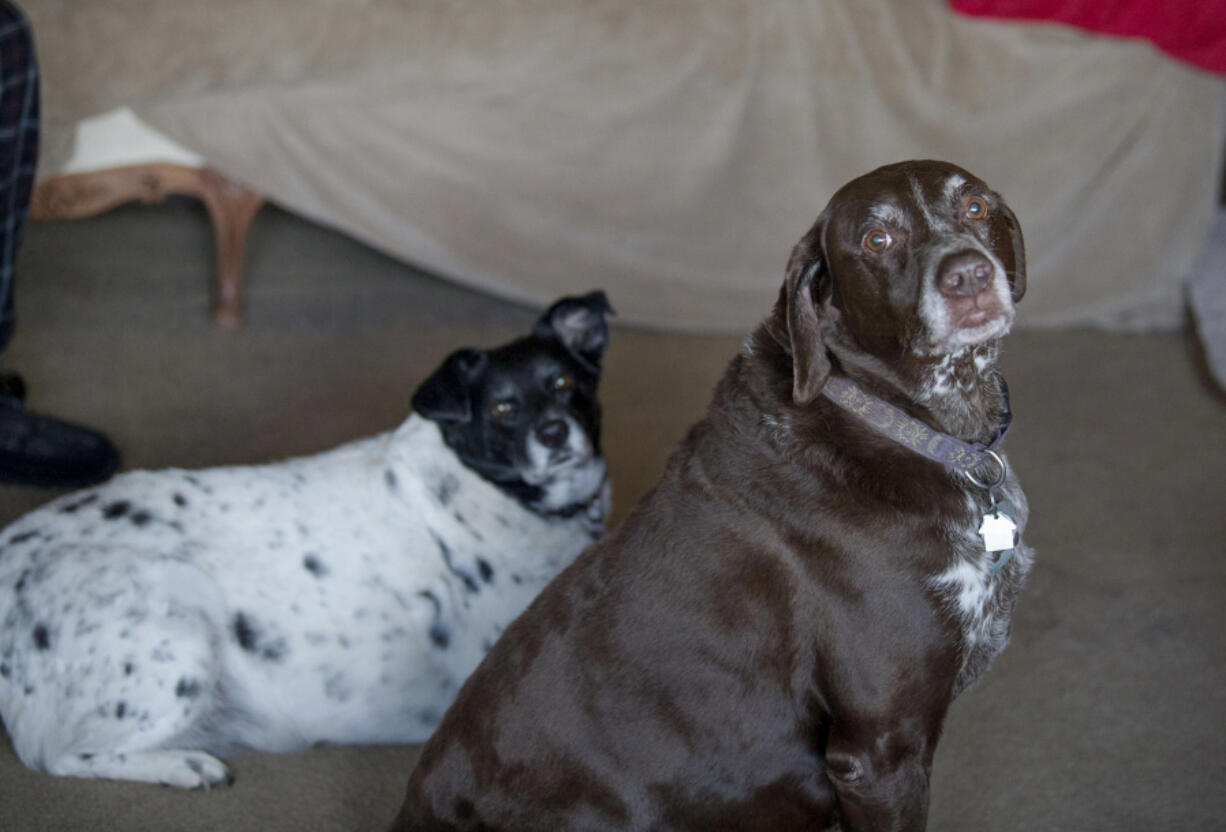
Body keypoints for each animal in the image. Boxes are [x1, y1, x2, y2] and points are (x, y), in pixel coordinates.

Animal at [0, 291, 613, 789]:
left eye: (565, 384)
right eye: (502, 408)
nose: (554, 432)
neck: (497, 493)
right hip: (182, 638)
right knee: (59, 755)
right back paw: (183, 765)